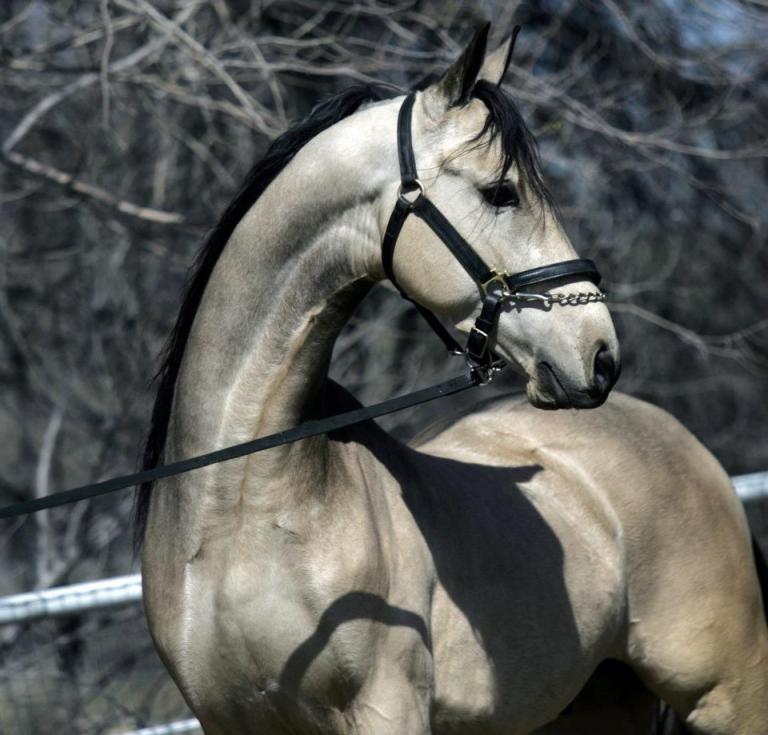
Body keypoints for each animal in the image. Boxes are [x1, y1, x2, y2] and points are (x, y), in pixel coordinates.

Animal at [136, 25, 768, 735]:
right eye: (501, 192)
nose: (600, 354)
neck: (241, 515)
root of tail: (682, 445)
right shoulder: (228, 719)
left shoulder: (386, 709)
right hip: (598, 704)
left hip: (726, 695)